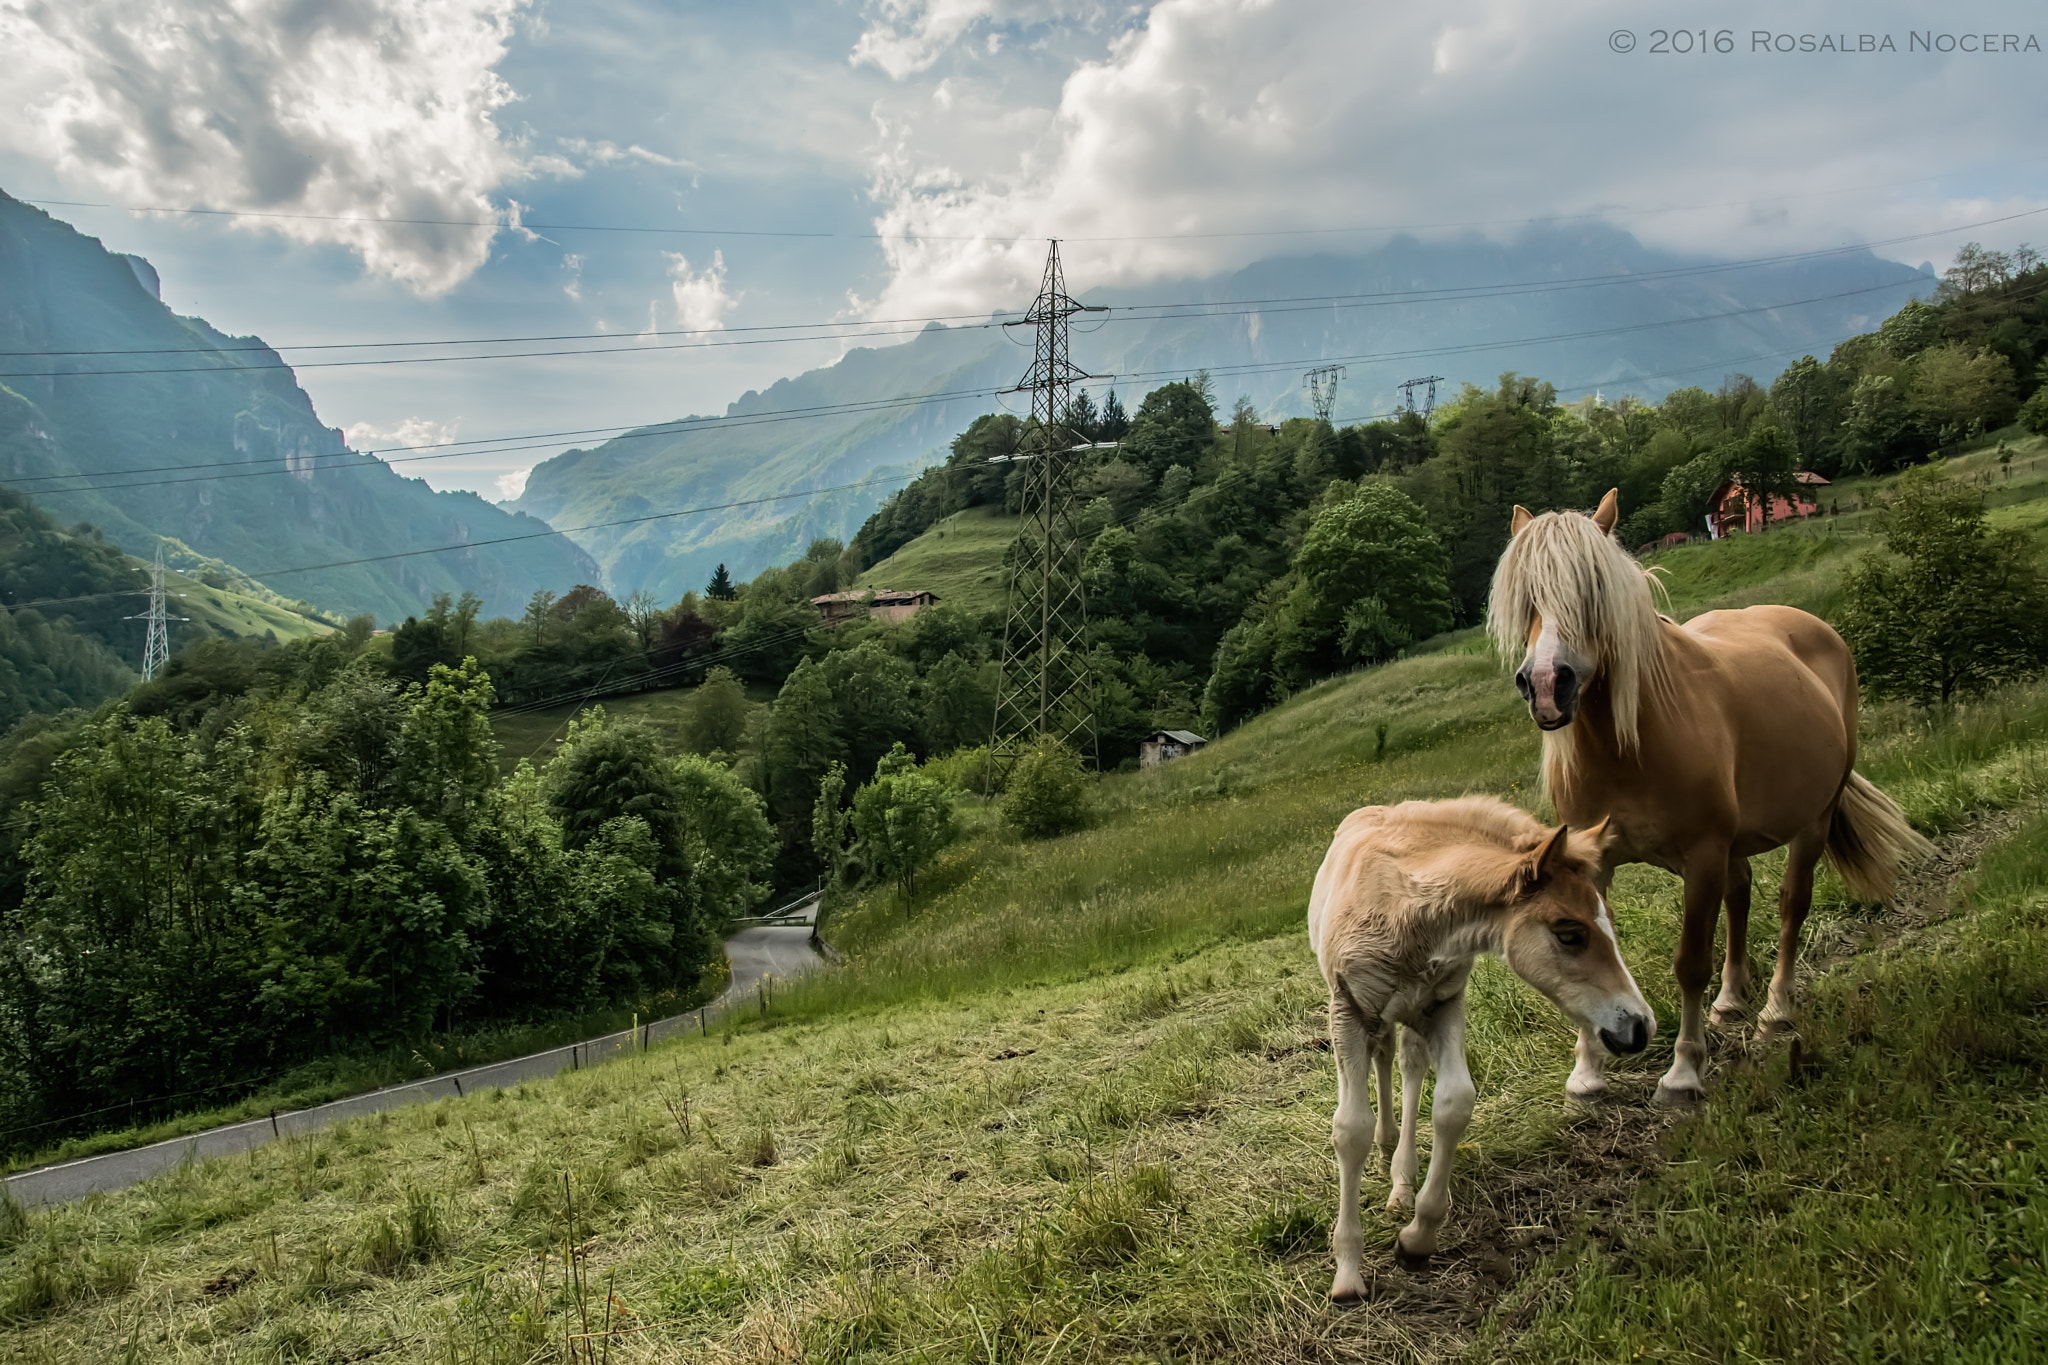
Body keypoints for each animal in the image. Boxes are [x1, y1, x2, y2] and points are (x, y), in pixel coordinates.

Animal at [1310, 794, 1662, 1301]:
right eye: (1569, 933)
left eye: (1610, 921)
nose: (1639, 1026)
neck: (1407, 909)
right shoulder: (1348, 1011)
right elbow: (1350, 1128)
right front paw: (1348, 1274)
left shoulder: (1444, 1003)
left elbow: (1454, 1102)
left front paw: (1417, 1239)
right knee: (1384, 1057)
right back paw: (1387, 1149)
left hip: (1413, 1013)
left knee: (1409, 1065)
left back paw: (1402, 1179)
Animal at [1482, 485, 1925, 1105]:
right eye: (1527, 600)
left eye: (1593, 594)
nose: (1547, 685)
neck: (1632, 743)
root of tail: (1816, 629)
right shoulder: (1594, 862)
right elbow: (1587, 947)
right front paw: (1588, 1072)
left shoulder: (1703, 854)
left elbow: (1691, 961)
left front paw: (1684, 1071)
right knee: (1741, 895)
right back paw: (1731, 1001)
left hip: (1811, 821)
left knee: (1791, 904)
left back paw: (1775, 1012)